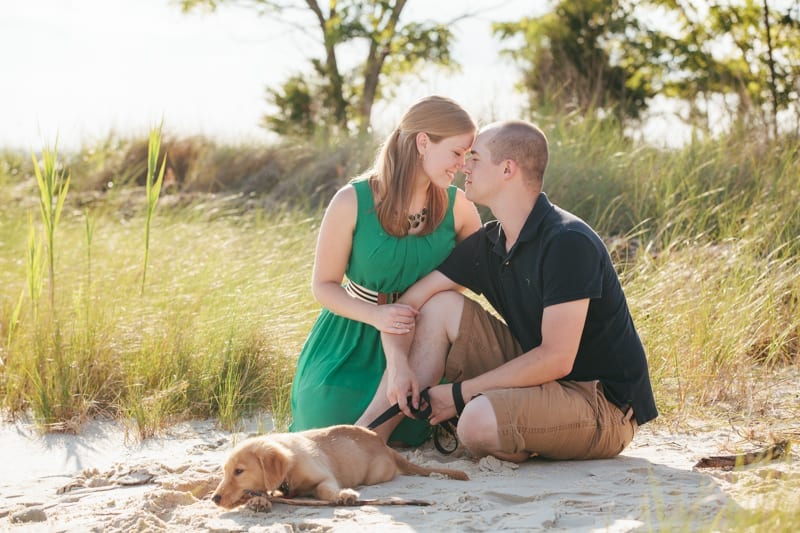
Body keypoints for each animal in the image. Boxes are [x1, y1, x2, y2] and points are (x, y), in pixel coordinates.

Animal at [211, 424, 468, 508]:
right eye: (224, 472)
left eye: (239, 471)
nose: (214, 498)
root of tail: (384, 445)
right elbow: (265, 492)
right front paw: (259, 501)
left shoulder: (324, 477)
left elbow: (326, 489)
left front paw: (343, 495)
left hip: (375, 474)